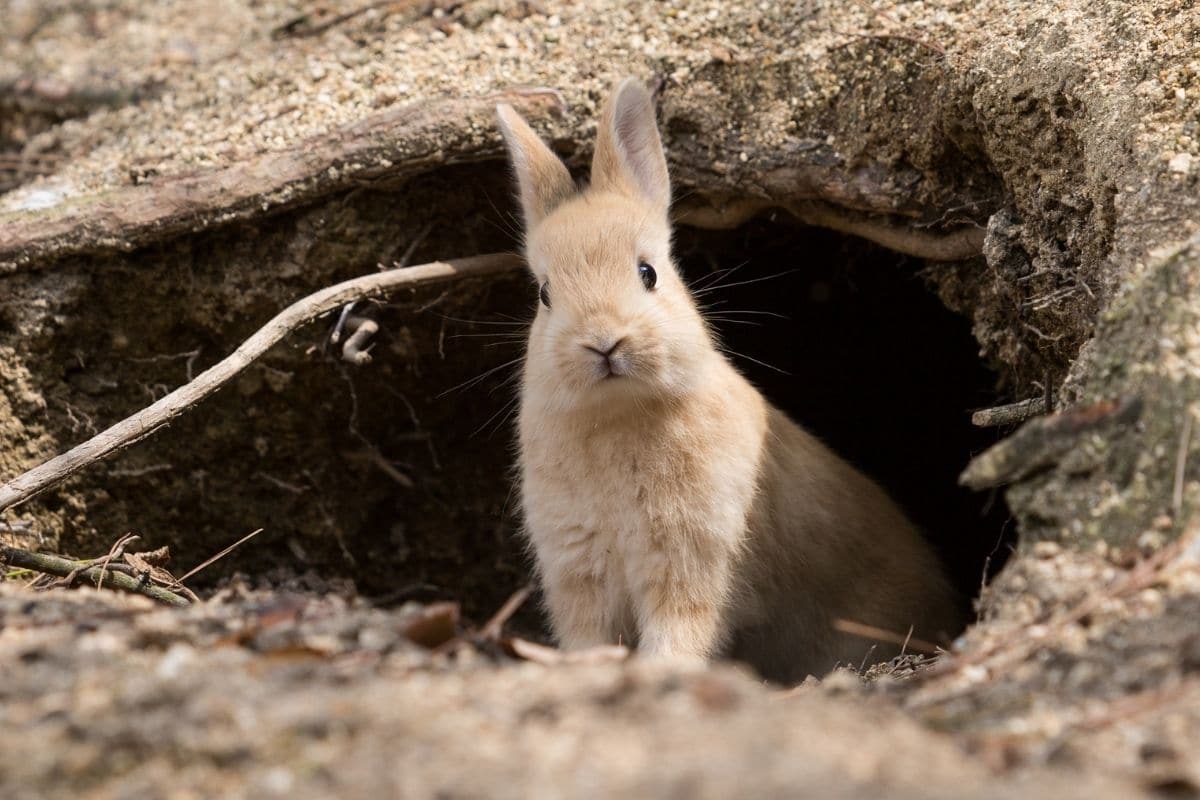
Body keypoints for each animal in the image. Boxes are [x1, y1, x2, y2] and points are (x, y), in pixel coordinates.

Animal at [492, 77, 960, 686]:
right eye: (545, 294)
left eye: (648, 273)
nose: (604, 342)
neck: (618, 413)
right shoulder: (579, 572)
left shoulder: (691, 558)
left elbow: (681, 629)